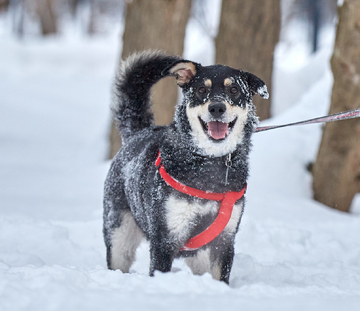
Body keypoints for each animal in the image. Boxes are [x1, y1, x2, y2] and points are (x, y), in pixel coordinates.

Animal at [102, 50, 268, 284]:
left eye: (234, 89)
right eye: (201, 90)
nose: (217, 108)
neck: (209, 162)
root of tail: (138, 133)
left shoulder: (224, 241)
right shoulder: (165, 239)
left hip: (199, 257)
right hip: (119, 237)